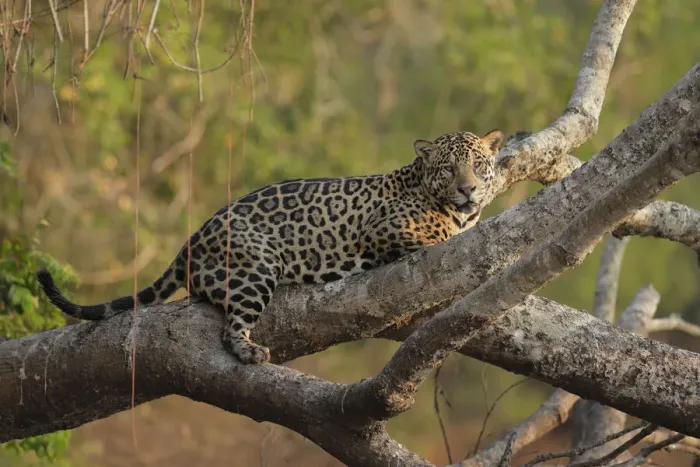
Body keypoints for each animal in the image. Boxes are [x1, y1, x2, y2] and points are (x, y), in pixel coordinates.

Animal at [37, 129, 504, 364]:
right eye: (448, 169)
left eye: (476, 165)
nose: (467, 189)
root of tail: (191, 241)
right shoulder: (382, 228)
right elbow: (436, 235)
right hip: (257, 269)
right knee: (230, 329)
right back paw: (250, 351)